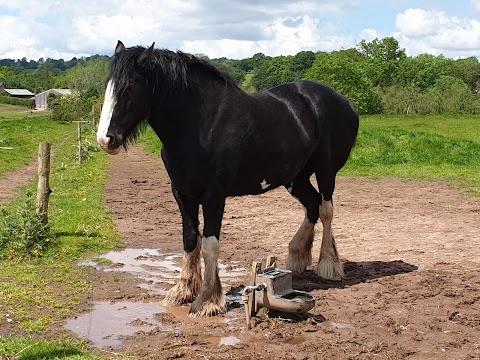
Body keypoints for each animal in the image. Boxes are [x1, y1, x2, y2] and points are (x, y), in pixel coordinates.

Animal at [97, 42, 358, 316]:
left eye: (129, 86)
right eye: (108, 85)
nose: (105, 139)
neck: (201, 124)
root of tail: (345, 103)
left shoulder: (214, 196)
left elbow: (210, 245)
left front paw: (207, 300)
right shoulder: (182, 194)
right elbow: (190, 239)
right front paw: (184, 291)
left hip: (326, 171)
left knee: (326, 209)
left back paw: (328, 265)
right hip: (296, 177)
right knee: (312, 205)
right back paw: (296, 258)